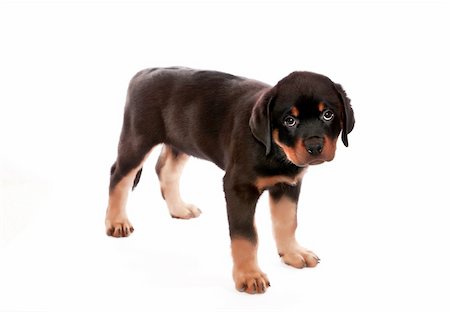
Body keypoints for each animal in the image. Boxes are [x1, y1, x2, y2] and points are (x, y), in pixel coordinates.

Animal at [105, 67, 356, 294]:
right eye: (289, 120)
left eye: (328, 114)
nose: (315, 146)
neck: (274, 150)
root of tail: (143, 73)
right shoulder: (238, 188)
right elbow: (245, 236)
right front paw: (249, 276)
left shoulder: (288, 185)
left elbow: (287, 222)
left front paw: (293, 253)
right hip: (138, 139)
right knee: (119, 175)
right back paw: (116, 222)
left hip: (182, 141)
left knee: (166, 170)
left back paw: (179, 208)